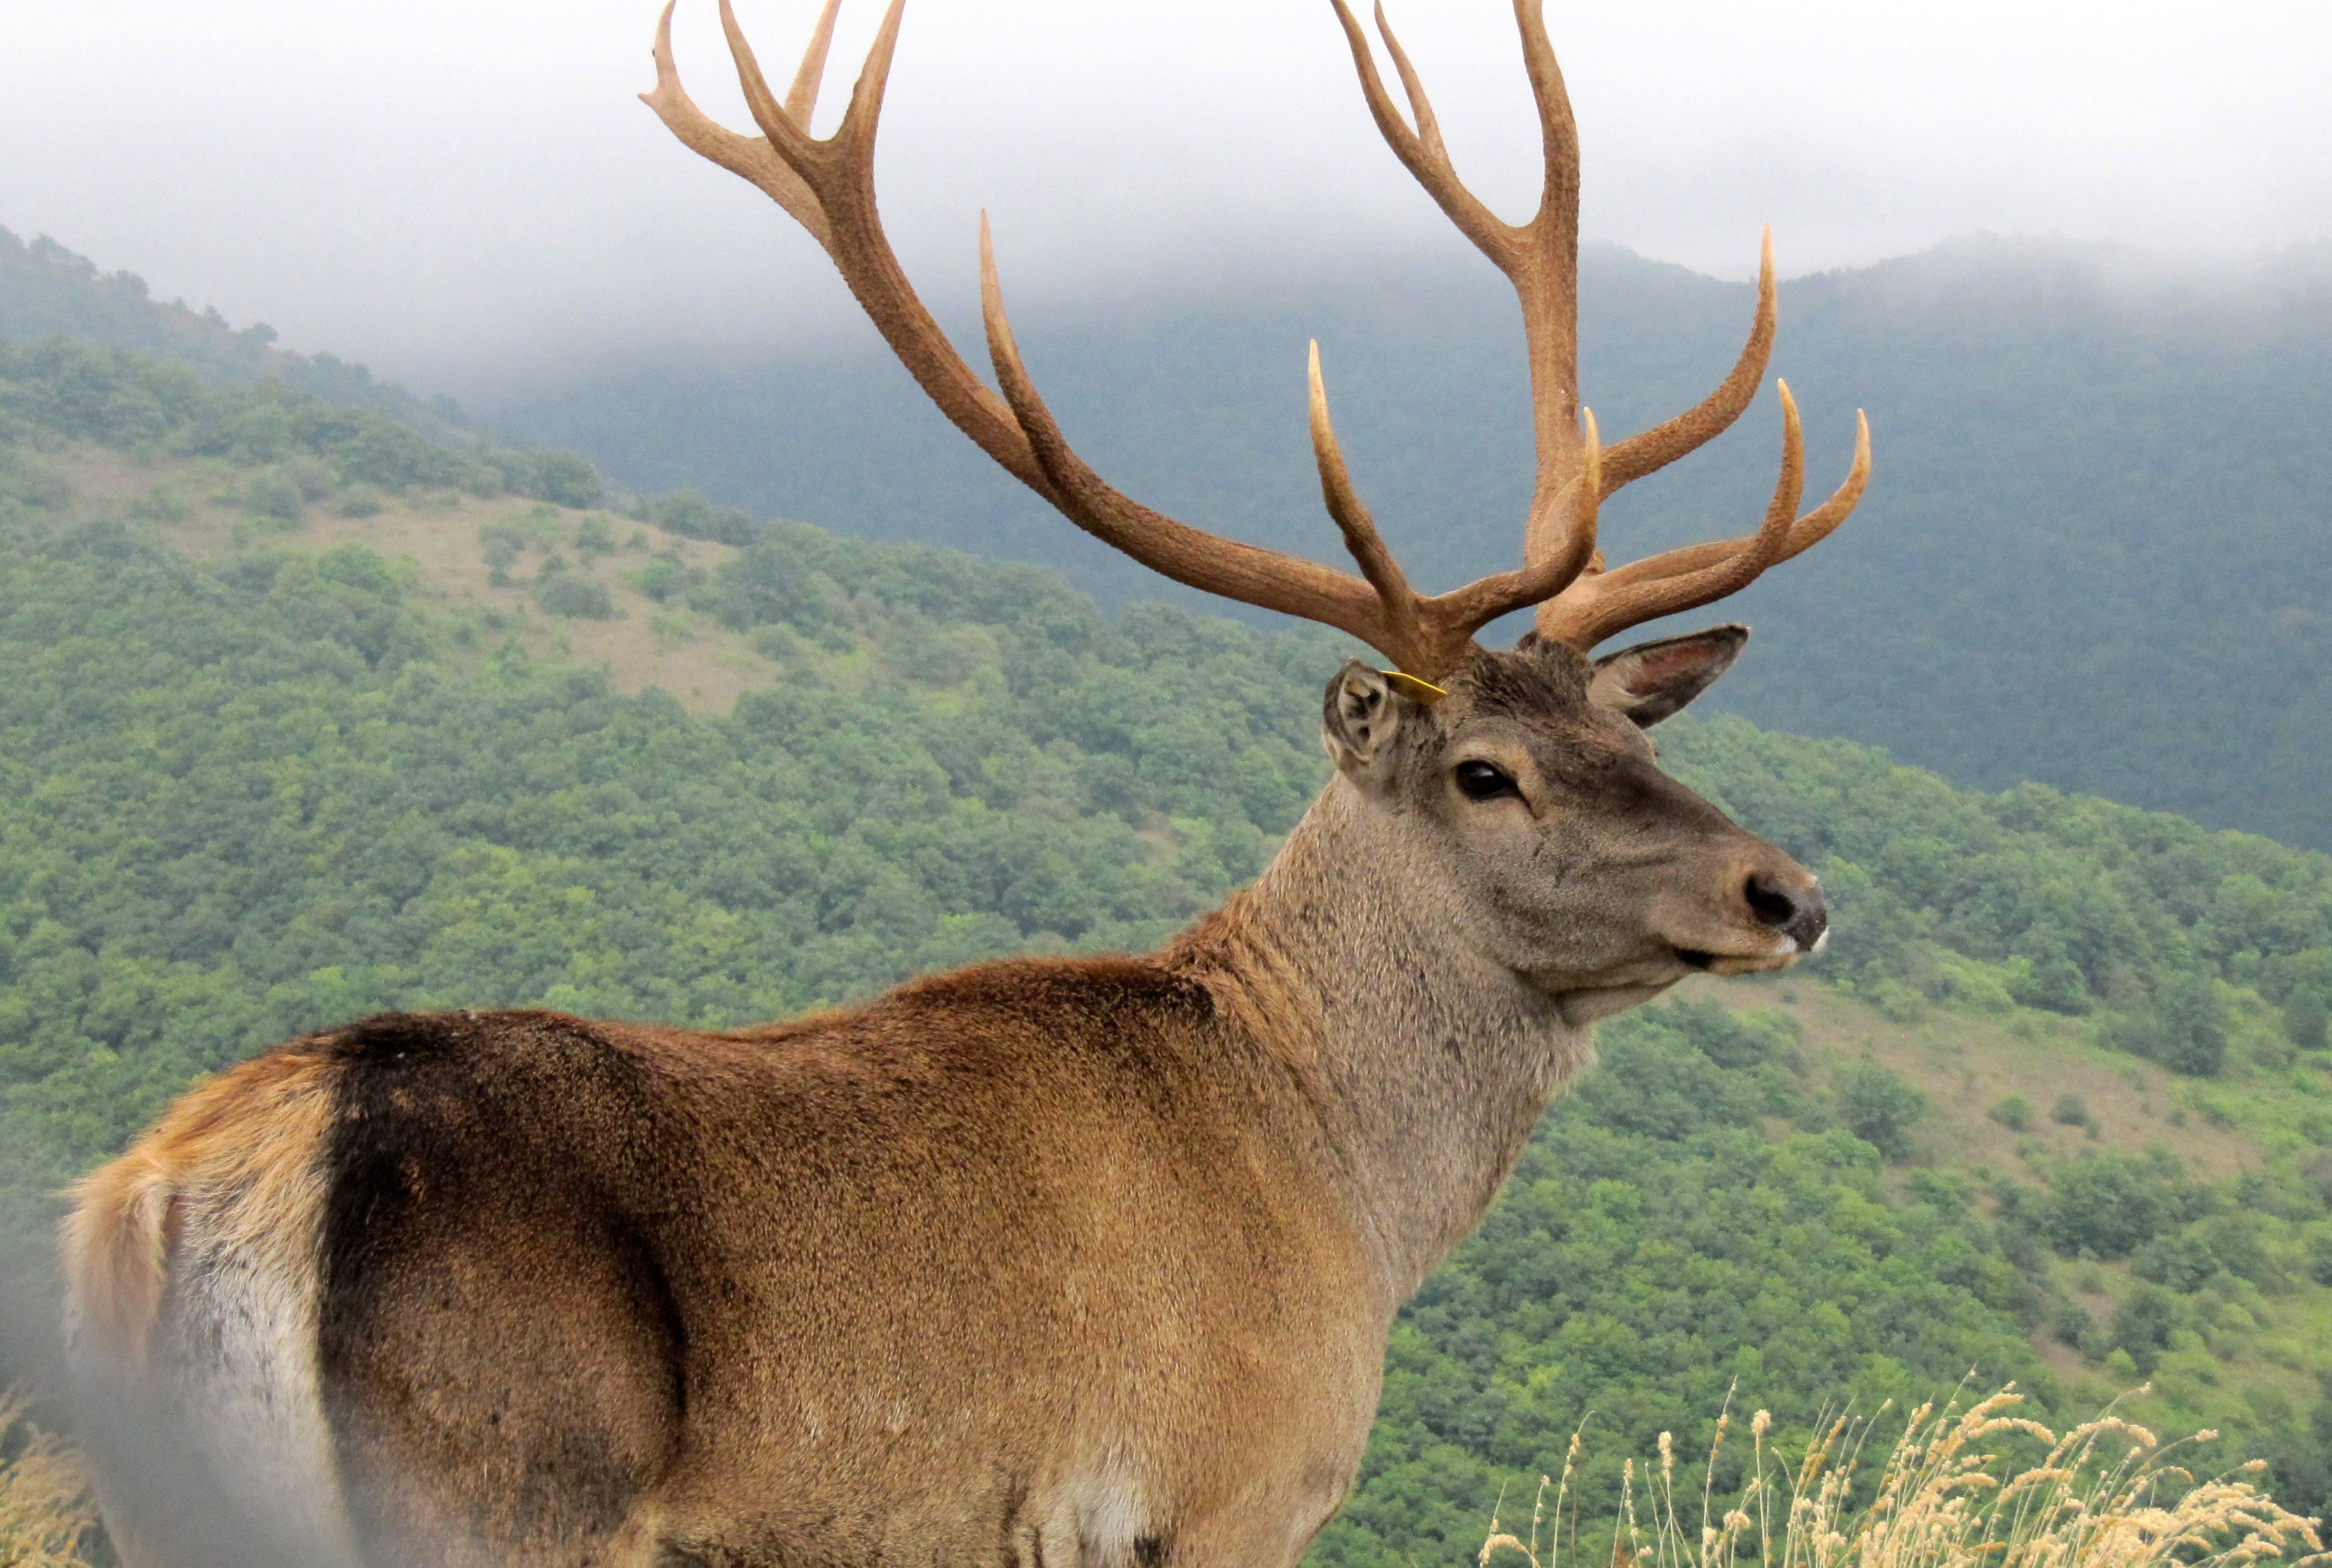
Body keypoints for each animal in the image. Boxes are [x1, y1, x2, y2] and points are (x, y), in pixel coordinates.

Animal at [63, 3, 1865, 1568]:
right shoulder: (1212, 1495)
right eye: (1486, 773)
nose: (1787, 891)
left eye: (1641, 741)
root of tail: (198, 1194)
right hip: (494, 1487)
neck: (1343, 1189)